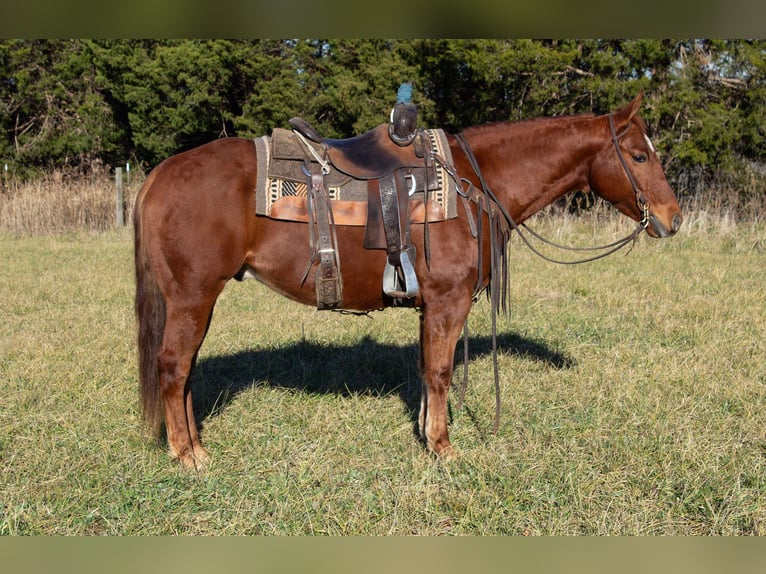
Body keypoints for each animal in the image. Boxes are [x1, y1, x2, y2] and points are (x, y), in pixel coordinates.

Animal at [134, 93, 684, 472]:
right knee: (173, 367)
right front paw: (443, 448)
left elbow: (425, 370)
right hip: (193, 296)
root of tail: (158, 174)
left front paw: (426, 434)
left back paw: (195, 444)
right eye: (639, 156)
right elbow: (439, 373)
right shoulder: (448, 301)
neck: (476, 184)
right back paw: (188, 456)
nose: (673, 218)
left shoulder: (431, 307)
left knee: (185, 372)